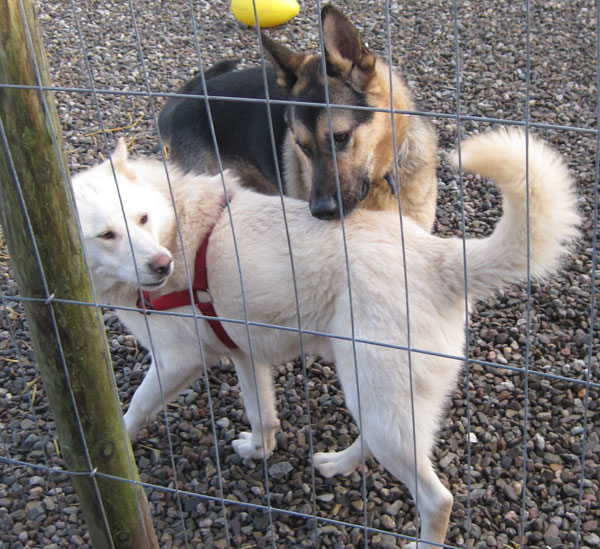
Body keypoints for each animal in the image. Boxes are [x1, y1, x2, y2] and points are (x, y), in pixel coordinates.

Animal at [72, 131, 580, 544]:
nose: (162, 266)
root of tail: (439, 257)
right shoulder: (246, 355)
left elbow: (134, 409)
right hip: (377, 398)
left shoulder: (177, 361)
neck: (177, 226)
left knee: (438, 500)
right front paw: (258, 451)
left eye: (141, 219)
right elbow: (262, 416)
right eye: (107, 234)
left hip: (377, 397)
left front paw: (108, 448)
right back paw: (337, 464)